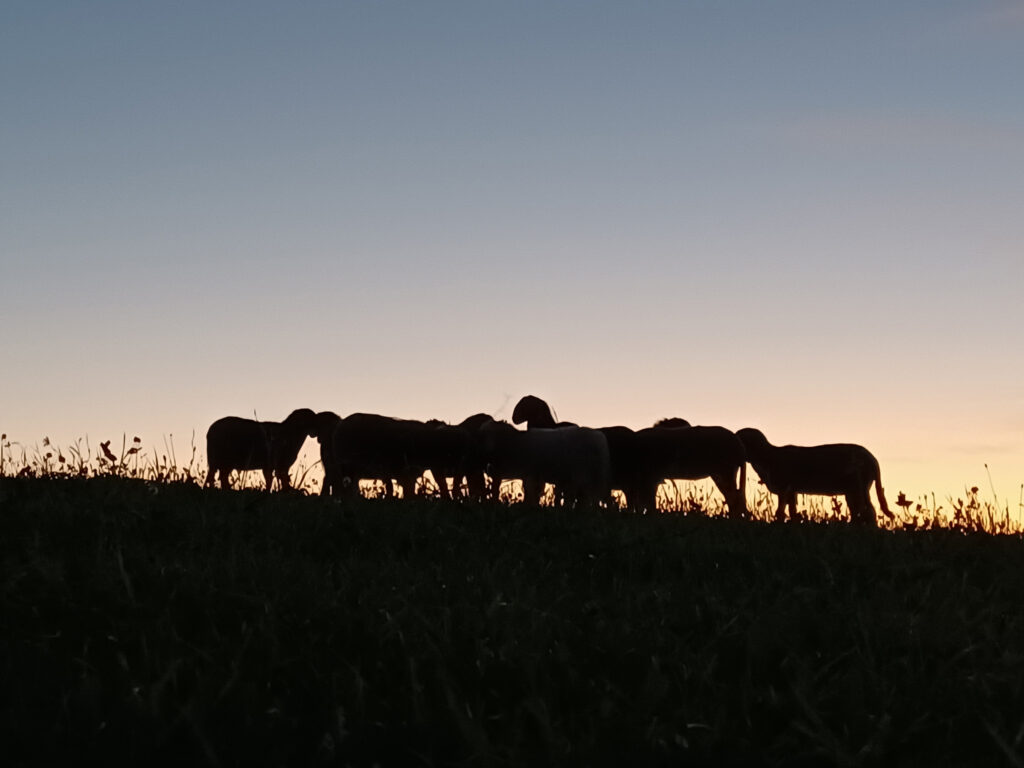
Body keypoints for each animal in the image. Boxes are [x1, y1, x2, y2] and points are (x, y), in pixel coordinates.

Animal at [737, 428, 897, 528]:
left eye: (739, 436)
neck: (769, 457)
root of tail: (872, 458)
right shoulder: (792, 491)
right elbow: (792, 512)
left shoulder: (784, 488)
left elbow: (780, 512)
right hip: (854, 491)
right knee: (861, 512)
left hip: (858, 487)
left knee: (868, 511)